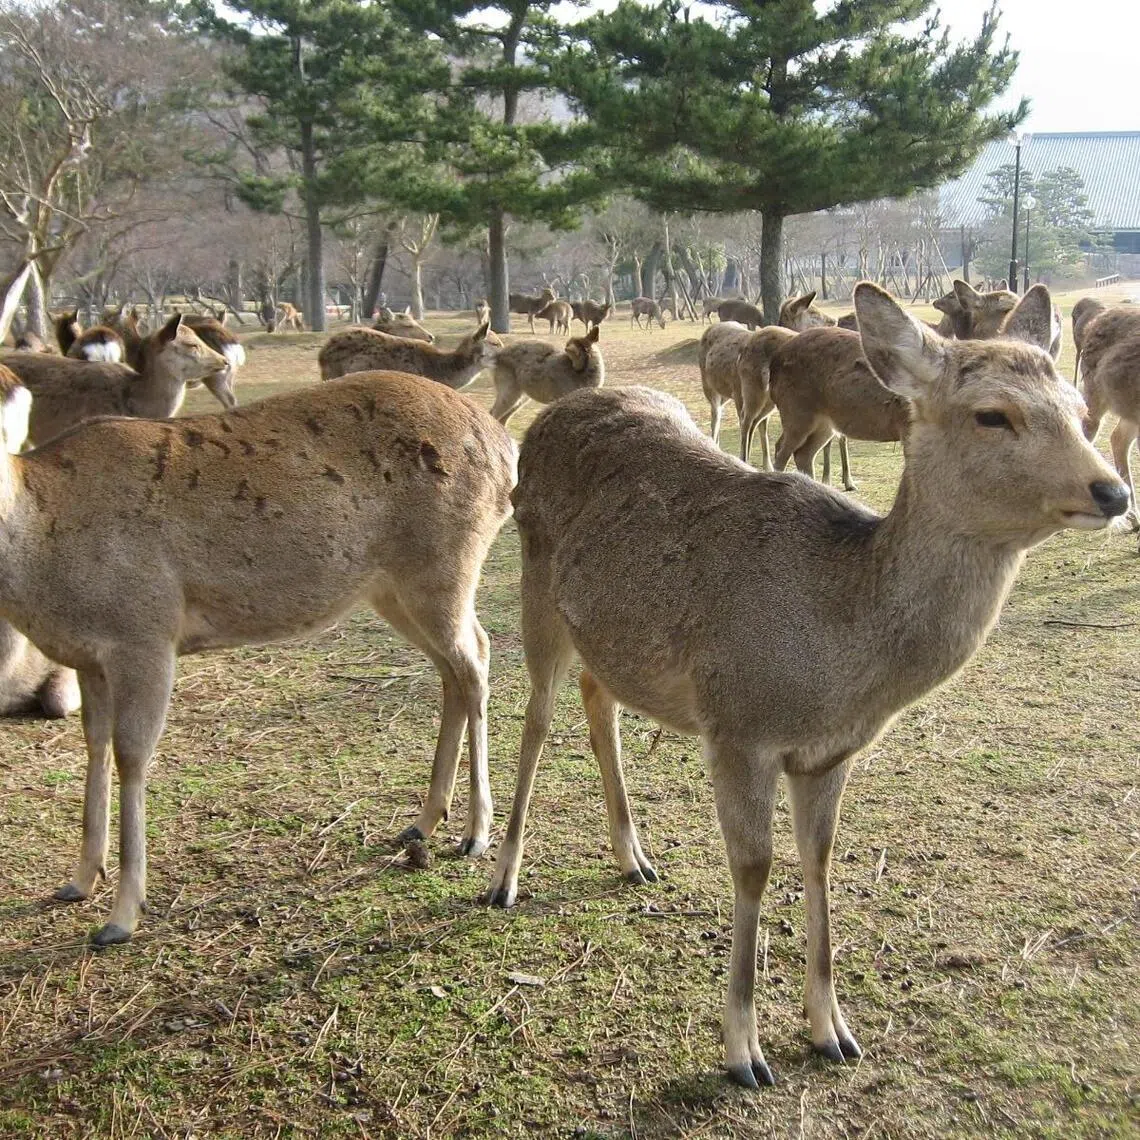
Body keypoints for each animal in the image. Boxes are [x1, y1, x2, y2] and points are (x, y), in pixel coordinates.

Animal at [4, 371, 516, 946]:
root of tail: (506, 446)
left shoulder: (144, 633)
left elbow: (132, 754)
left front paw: (122, 916)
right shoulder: (88, 658)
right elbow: (94, 746)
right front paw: (78, 880)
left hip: (444, 568)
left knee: (477, 658)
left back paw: (475, 833)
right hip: (391, 590)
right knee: (455, 668)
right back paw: (424, 821)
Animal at [483, 281, 1129, 1091]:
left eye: (1078, 407)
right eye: (993, 414)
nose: (1112, 491)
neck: (838, 665)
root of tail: (556, 412)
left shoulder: (829, 754)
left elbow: (819, 860)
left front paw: (833, 1032)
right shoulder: (737, 726)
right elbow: (755, 868)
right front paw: (743, 1051)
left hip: (605, 630)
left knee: (600, 704)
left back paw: (633, 857)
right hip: (536, 585)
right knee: (536, 717)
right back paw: (502, 876)